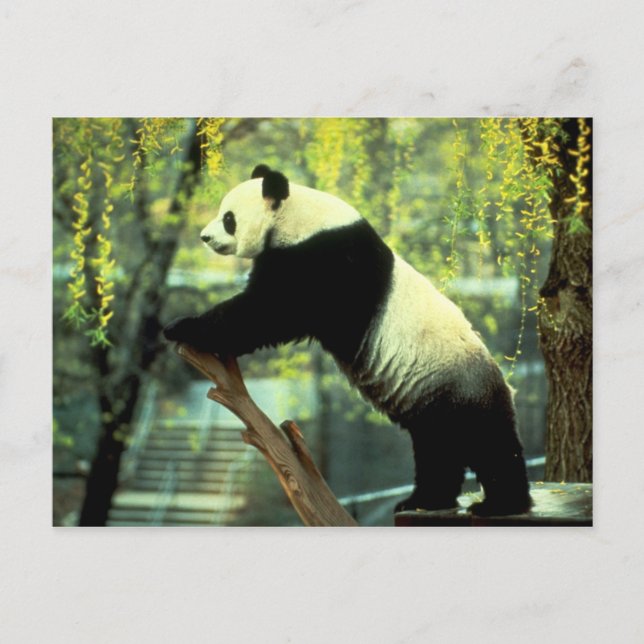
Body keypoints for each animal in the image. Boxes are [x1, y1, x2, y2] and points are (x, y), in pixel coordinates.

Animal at [164, 164, 532, 517]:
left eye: (229, 218)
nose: (205, 237)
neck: (298, 217)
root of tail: (501, 382)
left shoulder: (326, 261)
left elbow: (269, 311)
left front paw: (182, 327)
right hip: (433, 401)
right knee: (437, 450)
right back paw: (423, 500)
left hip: (460, 390)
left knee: (488, 444)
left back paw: (503, 504)